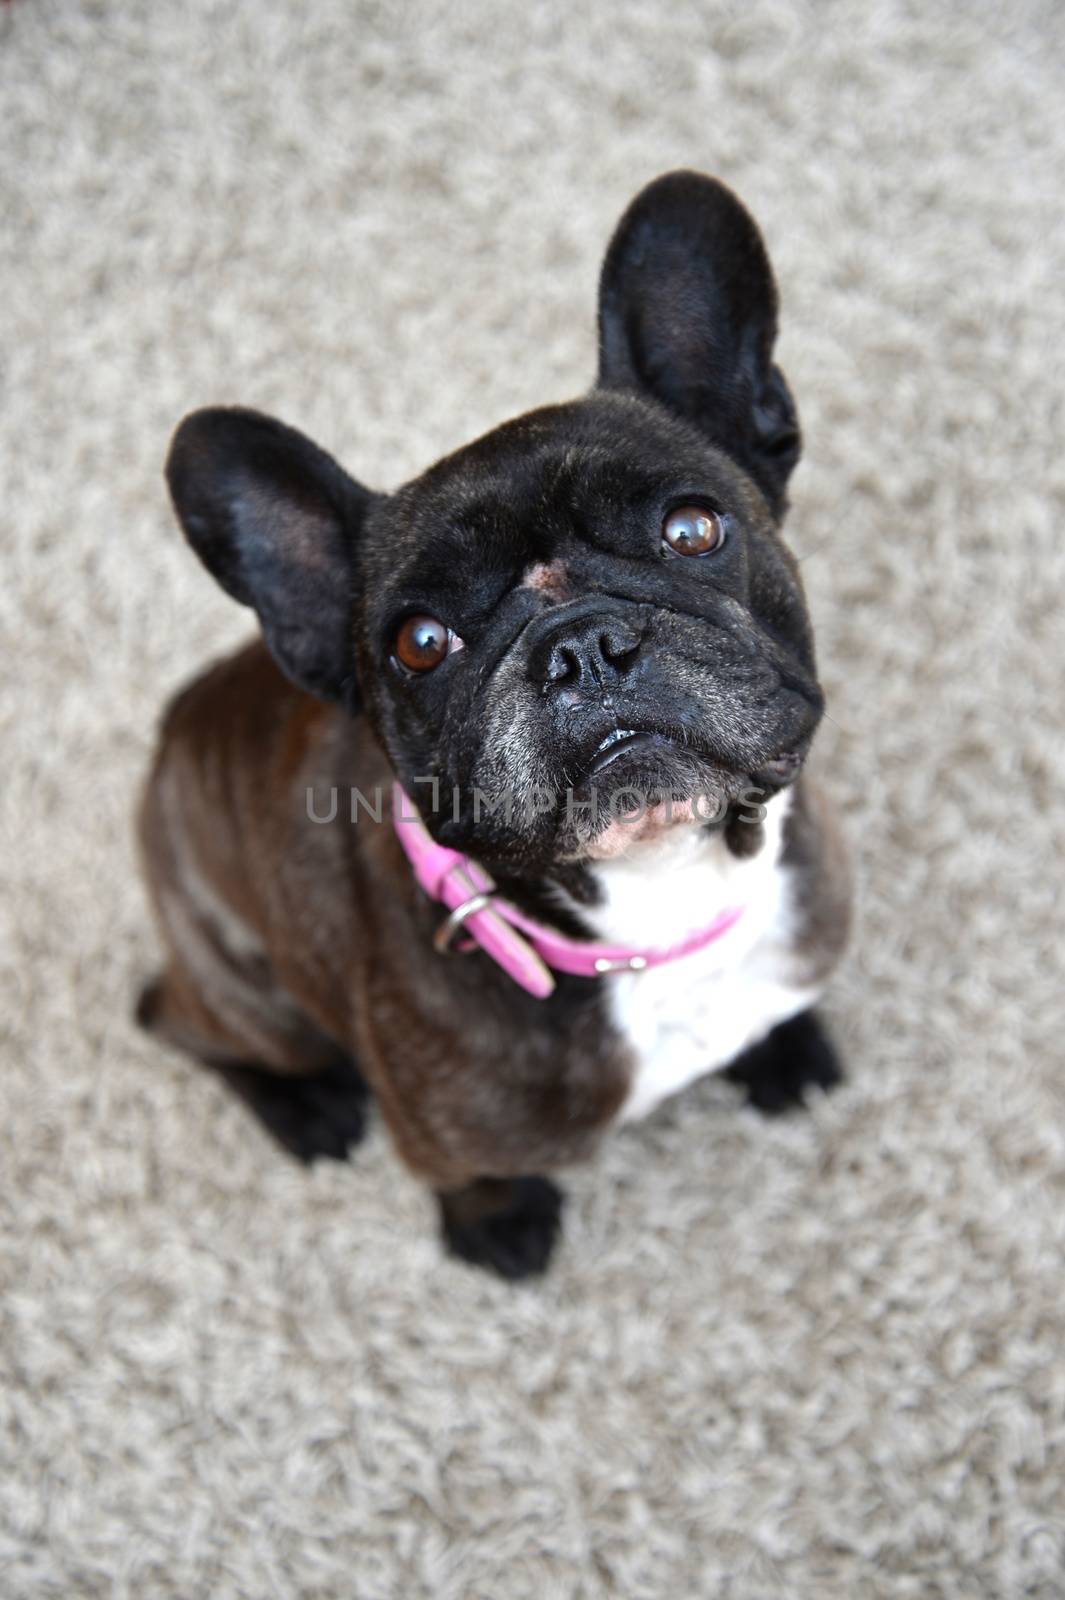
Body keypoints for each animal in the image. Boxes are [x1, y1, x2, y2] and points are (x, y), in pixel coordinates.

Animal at [135, 172, 844, 1273]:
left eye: (692, 528)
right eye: (420, 642)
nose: (581, 643)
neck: (655, 909)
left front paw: (785, 1042)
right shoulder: (442, 1133)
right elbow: (468, 1177)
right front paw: (497, 1224)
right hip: (248, 990)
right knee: (179, 1021)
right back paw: (307, 1109)